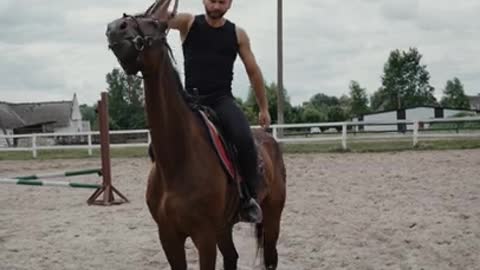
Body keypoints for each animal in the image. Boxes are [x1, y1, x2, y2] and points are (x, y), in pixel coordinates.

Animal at [105, 1, 286, 268]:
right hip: (224, 226)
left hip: (271, 218)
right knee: (232, 257)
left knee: (270, 257)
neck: (177, 160)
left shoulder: (204, 236)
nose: (116, 27)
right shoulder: (169, 236)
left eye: (157, 23)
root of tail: (270, 139)